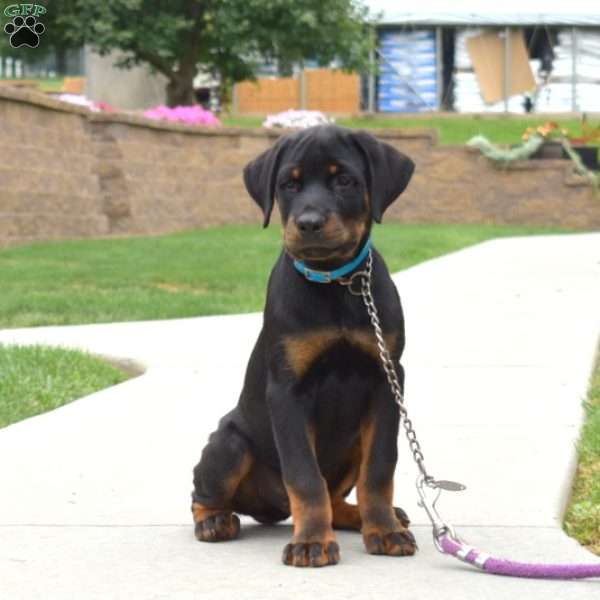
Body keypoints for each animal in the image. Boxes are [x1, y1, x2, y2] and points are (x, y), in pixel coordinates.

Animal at [190, 124, 414, 564]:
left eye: (344, 180)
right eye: (287, 185)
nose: (308, 223)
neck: (337, 283)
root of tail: (271, 507)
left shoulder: (387, 379)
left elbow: (380, 470)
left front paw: (384, 530)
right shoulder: (286, 390)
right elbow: (305, 477)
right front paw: (311, 542)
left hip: (353, 442)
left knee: (340, 495)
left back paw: (367, 516)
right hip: (228, 445)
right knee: (201, 493)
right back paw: (214, 521)